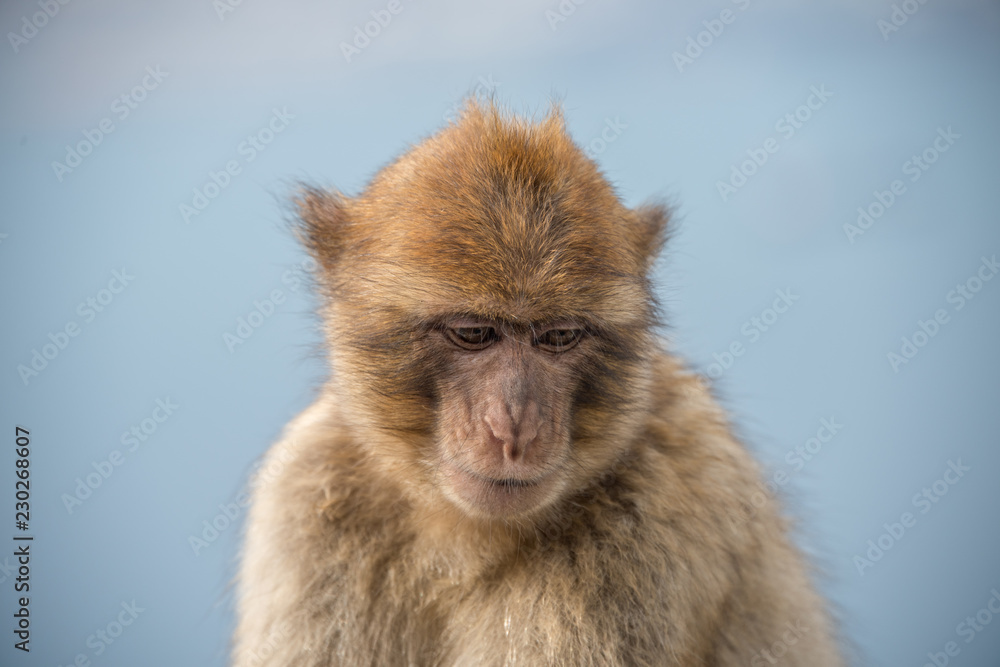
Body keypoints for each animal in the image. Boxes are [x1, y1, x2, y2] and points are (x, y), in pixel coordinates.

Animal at [233, 100, 844, 667]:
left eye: (559, 336)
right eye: (473, 333)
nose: (516, 427)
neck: (462, 539)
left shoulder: (640, 532)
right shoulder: (308, 493)